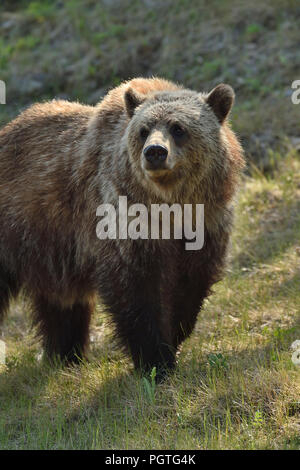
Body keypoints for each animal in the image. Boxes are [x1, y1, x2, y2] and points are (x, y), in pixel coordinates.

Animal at [0, 78, 244, 378]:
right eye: (143, 130)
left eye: (178, 128)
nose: (155, 152)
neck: (172, 208)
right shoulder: (122, 222)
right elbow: (135, 291)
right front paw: (155, 361)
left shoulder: (206, 225)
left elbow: (191, 285)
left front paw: (175, 333)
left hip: (51, 253)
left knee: (63, 302)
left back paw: (66, 355)